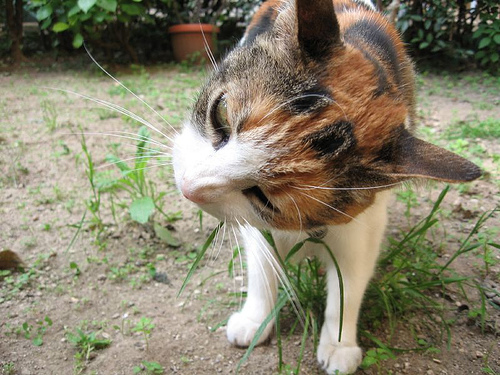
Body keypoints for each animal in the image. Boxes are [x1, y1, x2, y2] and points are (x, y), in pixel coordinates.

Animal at [172, 1, 480, 374]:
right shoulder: (256, 227)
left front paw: (339, 343)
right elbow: (261, 266)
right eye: (221, 113)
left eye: (265, 197)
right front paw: (255, 318)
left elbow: (349, 284)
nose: (189, 187)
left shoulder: (363, 222)